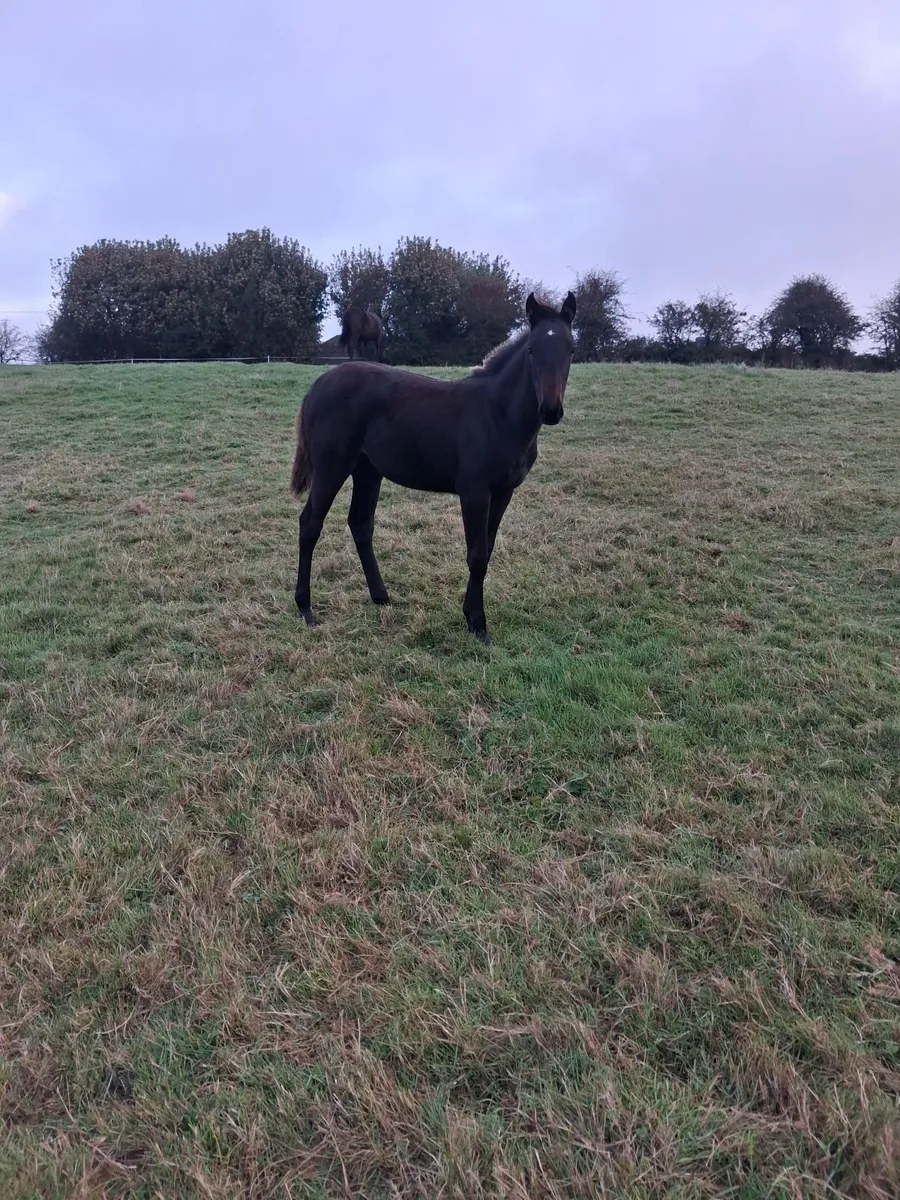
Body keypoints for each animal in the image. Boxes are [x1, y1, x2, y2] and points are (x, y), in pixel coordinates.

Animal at [290, 291, 577, 644]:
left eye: (571, 350)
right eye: (532, 350)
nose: (550, 410)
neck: (498, 415)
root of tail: (317, 386)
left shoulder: (503, 492)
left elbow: (487, 550)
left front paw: (471, 616)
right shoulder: (474, 492)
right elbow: (476, 555)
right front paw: (478, 624)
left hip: (368, 470)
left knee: (360, 523)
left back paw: (381, 596)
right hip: (332, 466)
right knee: (310, 524)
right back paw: (305, 608)